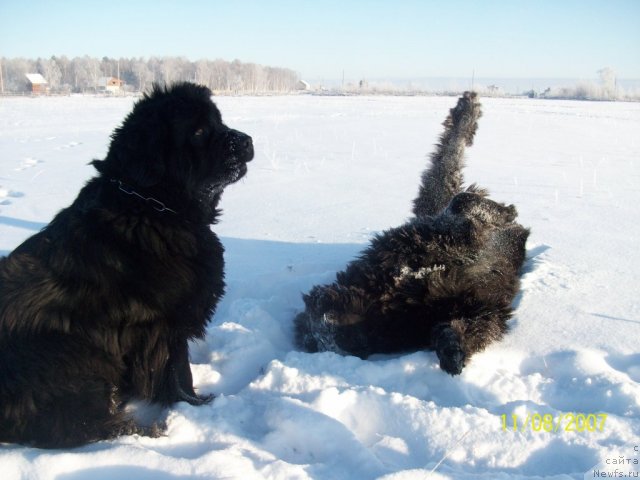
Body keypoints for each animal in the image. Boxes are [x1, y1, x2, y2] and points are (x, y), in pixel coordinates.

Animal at [0, 81, 255, 446]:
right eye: (198, 130)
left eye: (218, 121)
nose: (247, 141)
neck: (152, 206)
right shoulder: (162, 325)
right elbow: (179, 374)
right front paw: (195, 406)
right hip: (74, 353)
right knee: (81, 426)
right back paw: (145, 432)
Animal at [296, 93, 528, 376]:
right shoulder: (478, 307)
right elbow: (464, 329)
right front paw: (452, 353)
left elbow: (463, 202)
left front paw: (504, 211)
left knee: (450, 164)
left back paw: (467, 109)